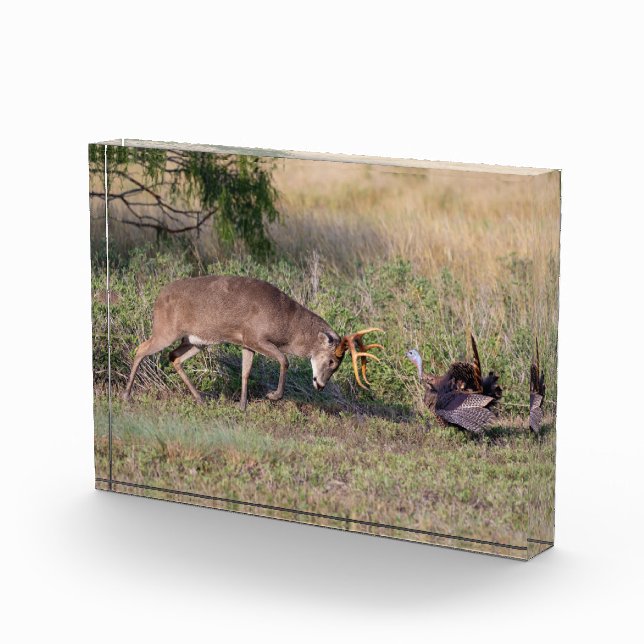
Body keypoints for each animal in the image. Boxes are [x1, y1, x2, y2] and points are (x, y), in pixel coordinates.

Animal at [122, 275, 384, 410]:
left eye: (337, 365)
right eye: (331, 361)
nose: (319, 384)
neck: (287, 325)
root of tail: (159, 297)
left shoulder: (246, 343)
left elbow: (246, 372)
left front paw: (243, 405)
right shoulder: (255, 337)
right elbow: (284, 360)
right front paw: (272, 396)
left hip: (196, 341)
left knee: (173, 357)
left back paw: (200, 398)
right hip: (166, 329)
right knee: (141, 348)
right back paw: (126, 394)